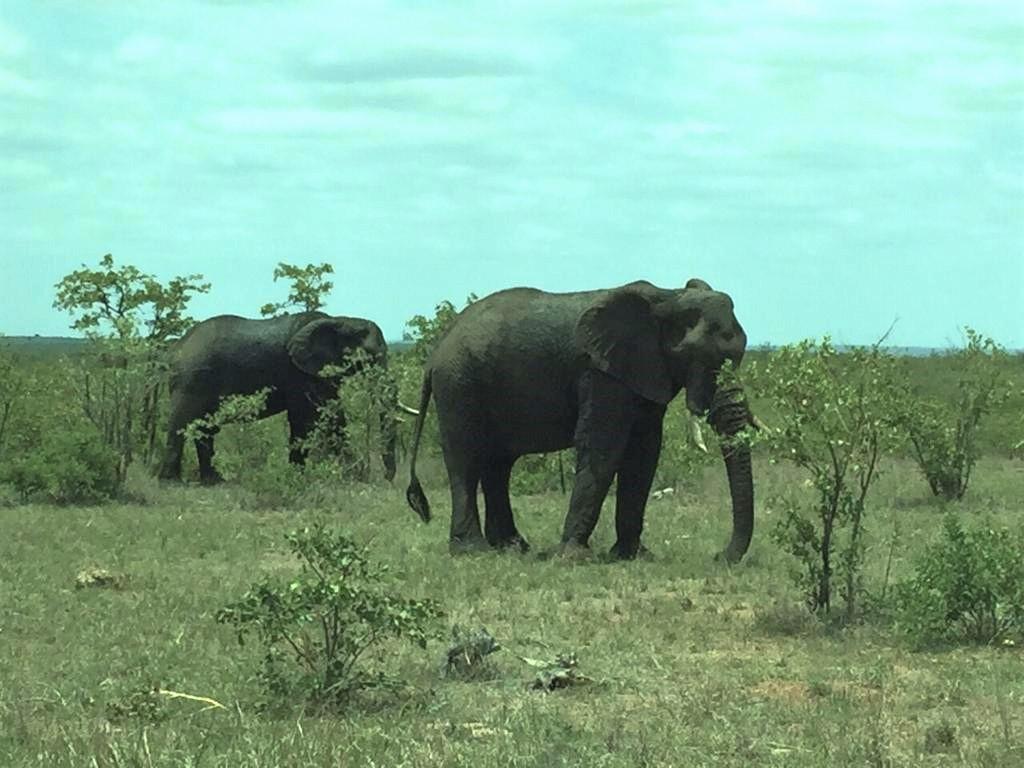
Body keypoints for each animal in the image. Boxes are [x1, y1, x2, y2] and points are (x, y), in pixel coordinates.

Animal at [155, 311, 403, 481]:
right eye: (368, 356)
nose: (388, 478)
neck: (341, 320)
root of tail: (176, 348)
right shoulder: (299, 373)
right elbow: (306, 418)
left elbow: (333, 415)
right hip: (190, 378)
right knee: (180, 424)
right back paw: (171, 482)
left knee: (204, 429)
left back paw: (214, 481)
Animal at [405, 280, 753, 561]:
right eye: (702, 358)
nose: (719, 556)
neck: (669, 296)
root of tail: (435, 353)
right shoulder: (599, 372)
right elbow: (603, 448)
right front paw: (573, 557)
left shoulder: (644, 373)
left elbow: (643, 454)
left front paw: (633, 556)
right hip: (458, 385)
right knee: (465, 460)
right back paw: (473, 551)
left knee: (497, 465)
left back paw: (513, 547)